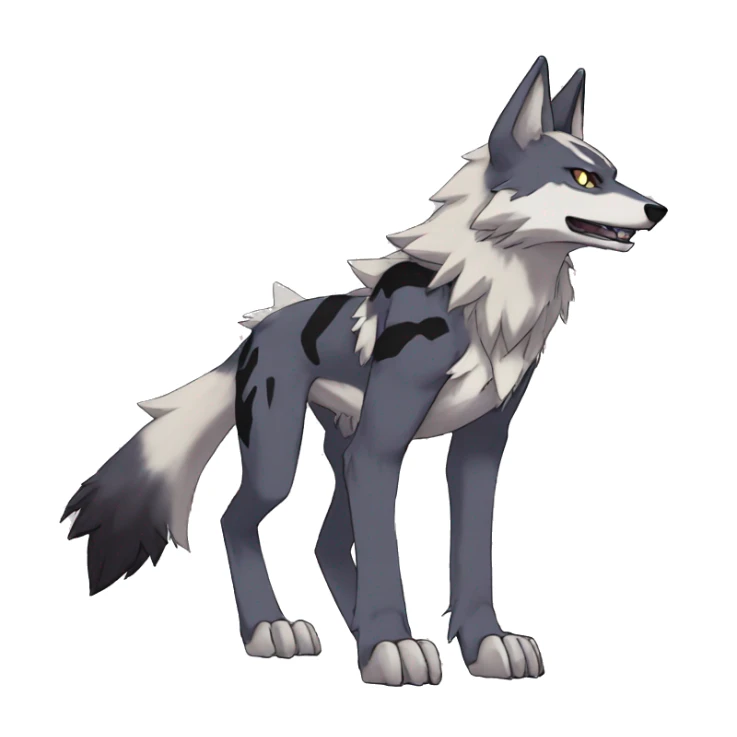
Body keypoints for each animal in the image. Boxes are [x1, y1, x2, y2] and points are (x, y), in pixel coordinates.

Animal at [62, 57, 667, 687]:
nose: (660, 209)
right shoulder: (380, 450)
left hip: (340, 453)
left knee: (325, 543)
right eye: (584, 179)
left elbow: (473, 554)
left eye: (614, 173)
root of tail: (260, 330)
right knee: (237, 521)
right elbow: (385, 549)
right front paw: (391, 644)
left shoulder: (478, 448)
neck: (480, 303)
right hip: (285, 462)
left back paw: (351, 628)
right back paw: (271, 628)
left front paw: (483, 642)